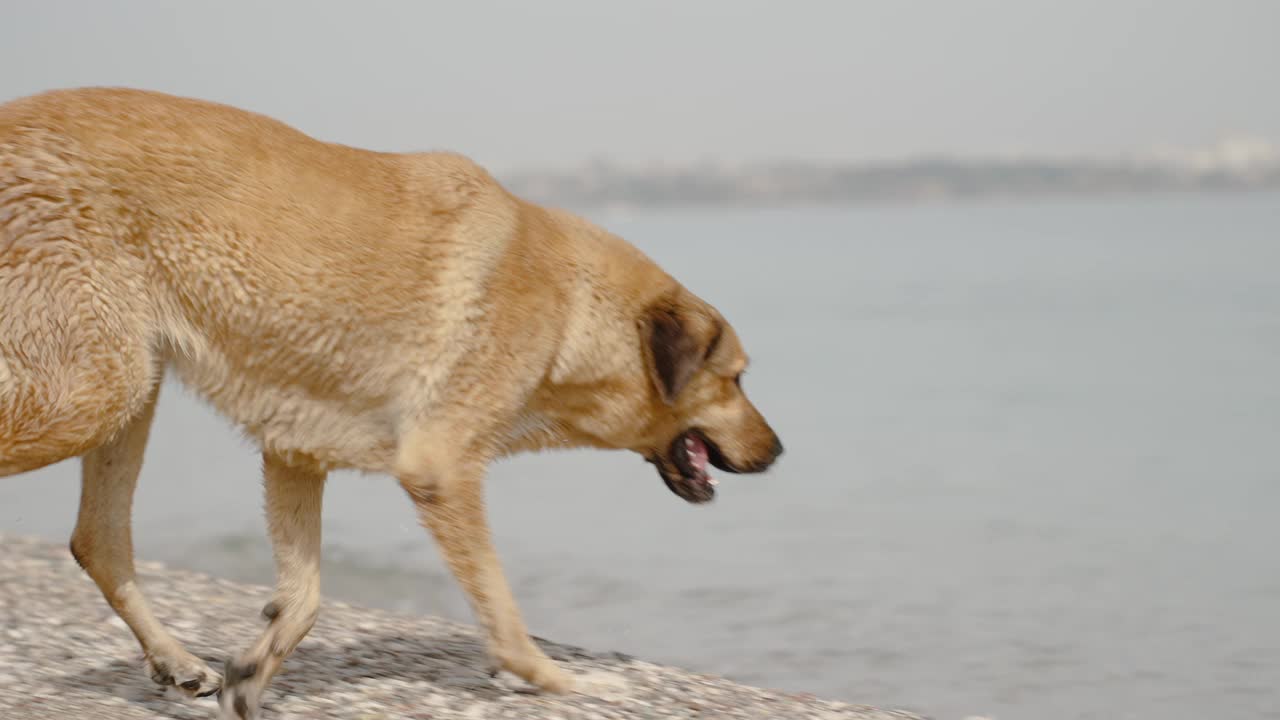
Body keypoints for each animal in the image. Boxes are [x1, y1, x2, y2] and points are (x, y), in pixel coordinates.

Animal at [0, 89, 778, 717]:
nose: (778, 451)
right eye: (738, 378)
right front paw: (562, 682)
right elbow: (502, 612)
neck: (571, 304)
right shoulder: (443, 470)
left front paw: (254, 671)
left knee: (99, 541)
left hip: (129, 388)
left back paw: (176, 662)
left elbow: (306, 597)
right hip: (94, 392)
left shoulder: (295, 451)